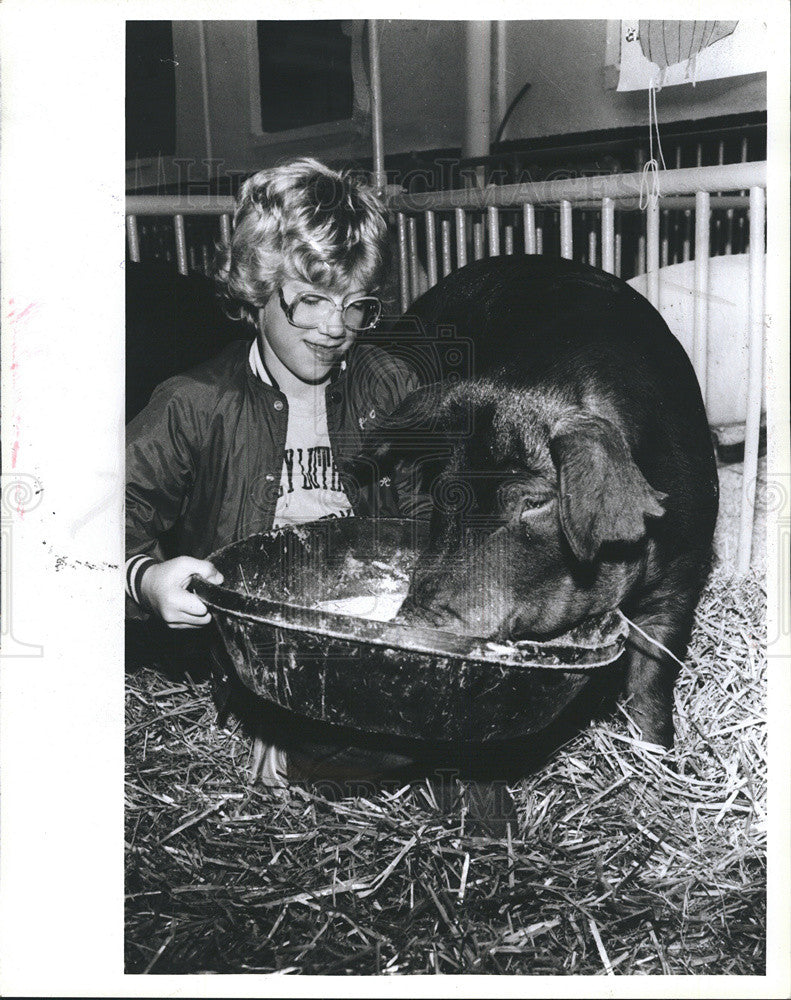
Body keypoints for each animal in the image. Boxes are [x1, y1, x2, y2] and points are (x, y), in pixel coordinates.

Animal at [364, 254, 716, 748]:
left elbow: (653, 672)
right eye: (447, 491)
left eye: (531, 503)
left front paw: (656, 749)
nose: (413, 617)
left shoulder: (684, 570)